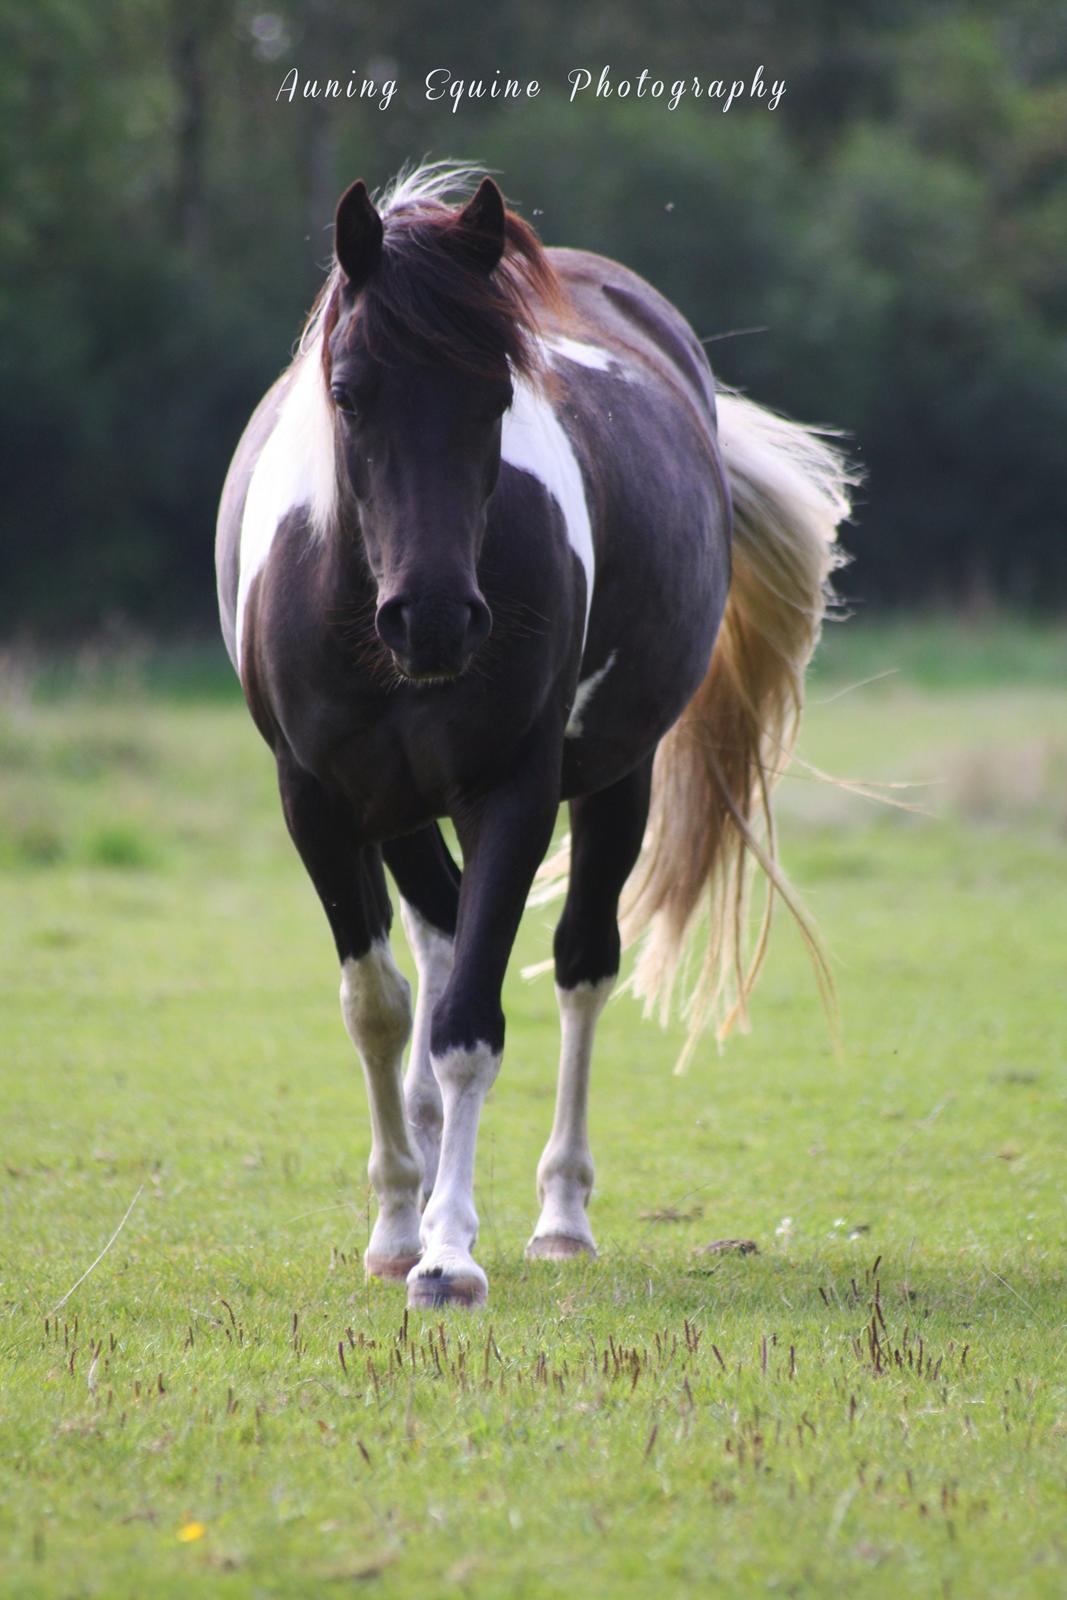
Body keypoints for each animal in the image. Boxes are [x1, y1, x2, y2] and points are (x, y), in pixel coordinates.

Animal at [214, 165, 851, 1312]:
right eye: (349, 390)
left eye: (497, 395)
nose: (431, 620)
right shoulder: (319, 800)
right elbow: (379, 1007)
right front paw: (396, 1224)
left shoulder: (512, 790)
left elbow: (469, 1022)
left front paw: (447, 1255)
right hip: (399, 809)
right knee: (433, 938)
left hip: (616, 782)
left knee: (578, 968)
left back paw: (559, 1216)